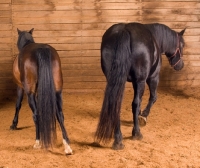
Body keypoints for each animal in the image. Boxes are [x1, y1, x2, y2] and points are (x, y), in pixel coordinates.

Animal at [94, 22, 185, 150]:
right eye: (182, 45)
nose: (180, 65)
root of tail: (123, 31)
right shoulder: (152, 78)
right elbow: (152, 98)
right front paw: (143, 116)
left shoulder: (134, 82)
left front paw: (138, 116)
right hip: (141, 80)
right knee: (135, 103)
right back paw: (136, 133)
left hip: (115, 80)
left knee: (116, 104)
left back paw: (118, 139)